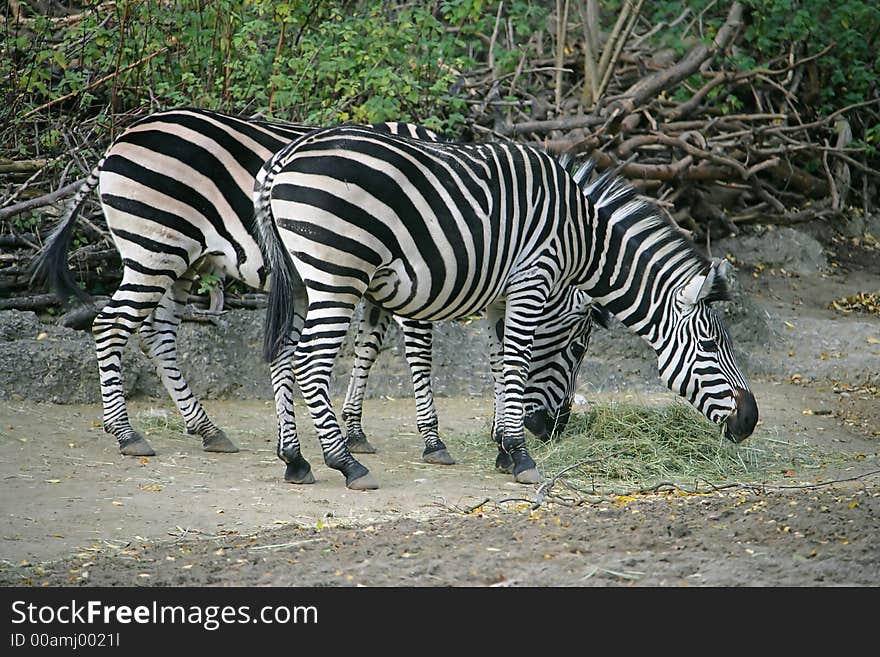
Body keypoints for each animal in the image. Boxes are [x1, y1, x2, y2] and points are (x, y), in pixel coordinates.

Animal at [27, 107, 592, 462]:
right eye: (579, 347)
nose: (553, 430)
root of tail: (118, 141)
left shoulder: (375, 277)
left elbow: (368, 347)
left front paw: (354, 430)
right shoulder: (417, 272)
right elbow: (417, 352)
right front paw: (434, 442)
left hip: (178, 258)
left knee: (157, 333)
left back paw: (206, 429)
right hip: (156, 248)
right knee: (115, 326)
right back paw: (127, 435)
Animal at [253, 125, 756, 490]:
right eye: (710, 346)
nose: (750, 420)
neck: (583, 239)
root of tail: (283, 159)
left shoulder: (500, 296)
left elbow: (500, 365)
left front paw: (501, 447)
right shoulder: (533, 277)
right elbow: (517, 360)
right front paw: (519, 454)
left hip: (299, 282)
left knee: (281, 355)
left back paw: (295, 459)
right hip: (337, 274)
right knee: (310, 363)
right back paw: (345, 463)